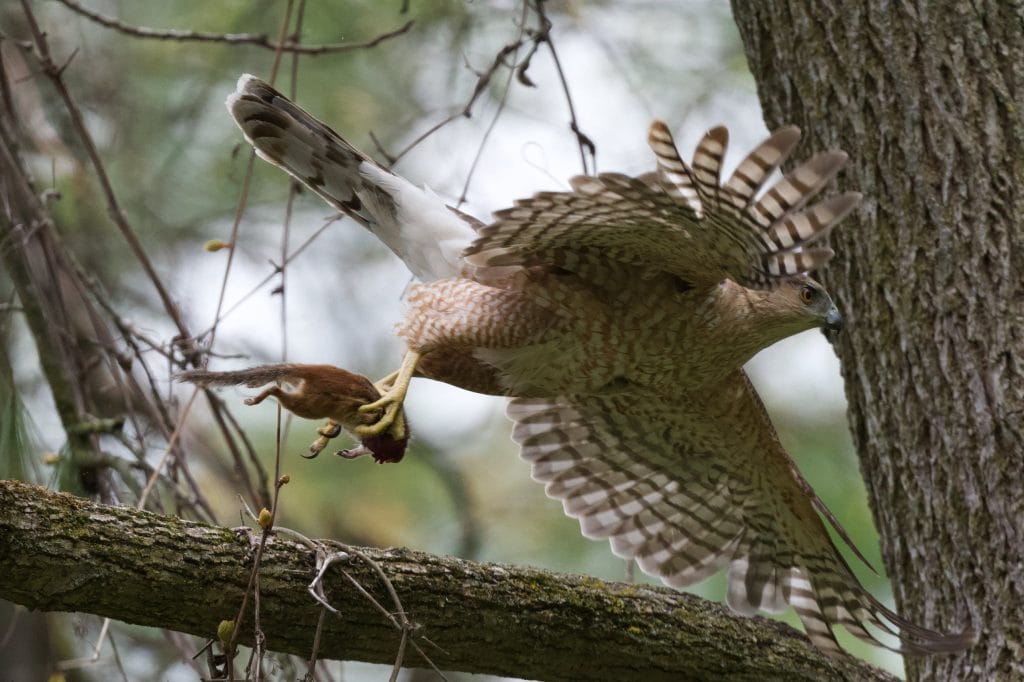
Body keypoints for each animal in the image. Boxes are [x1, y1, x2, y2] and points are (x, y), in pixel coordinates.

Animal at [178, 363, 408, 463]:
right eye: (389, 451)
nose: (382, 460)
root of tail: (310, 369)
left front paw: (347, 450)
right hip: (310, 404)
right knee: (277, 391)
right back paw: (261, 396)